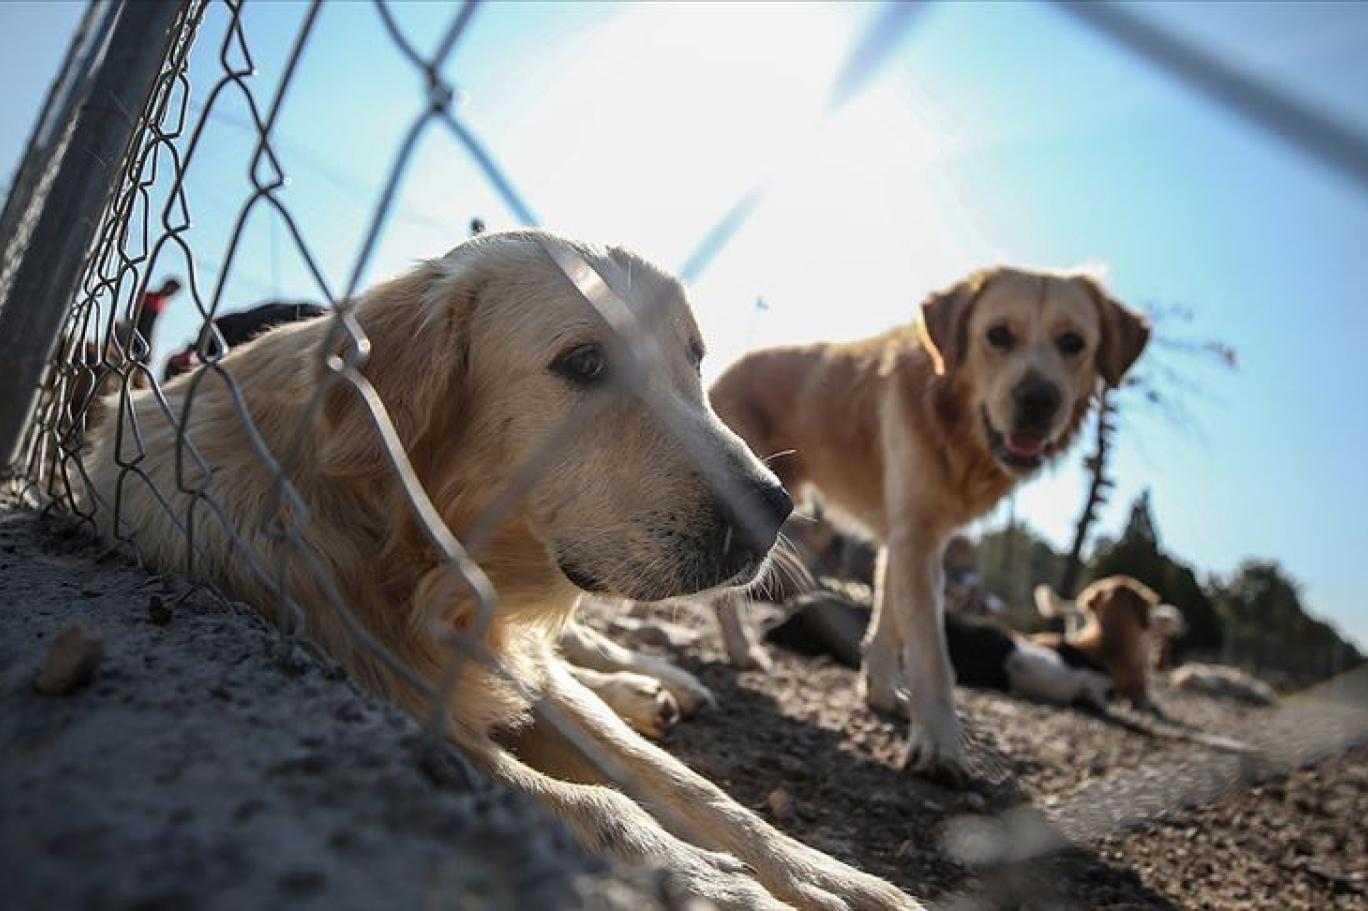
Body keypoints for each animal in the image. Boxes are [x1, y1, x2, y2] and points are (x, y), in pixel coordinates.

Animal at [82, 231, 919, 902]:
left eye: (696, 358)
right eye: (585, 362)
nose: (775, 509)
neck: (419, 554)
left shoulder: (514, 661)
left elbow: (692, 787)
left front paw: (831, 876)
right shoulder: (384, 695)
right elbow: (597, 805)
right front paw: (712, 880)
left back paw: (655, 682)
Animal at [711, 266, 1149, 776]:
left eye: (1073, 342)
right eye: (998, 335)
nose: (1038, 401)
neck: (953, 422)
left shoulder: (909, 536)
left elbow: (889, 622)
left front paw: (882, 694)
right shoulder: (915, 537)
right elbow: (931, 651)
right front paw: (940, 743)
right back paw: (742, 650)